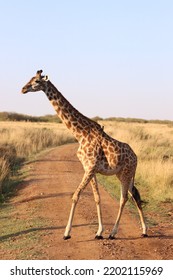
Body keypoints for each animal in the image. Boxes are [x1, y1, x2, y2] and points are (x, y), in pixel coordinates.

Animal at [21, 70, 147, 238]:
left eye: (36, 81)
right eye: (30, 78)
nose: (23, 89)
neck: (80, 134)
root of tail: (136, 157)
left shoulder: (90, 168)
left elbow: (75, 196)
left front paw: (67, 233)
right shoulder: (89, 168)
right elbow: (97, 198)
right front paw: (99, 232)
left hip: (126, 173)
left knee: (124, 198)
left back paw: (114, 232)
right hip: (123, 174)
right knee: (135, 196)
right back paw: (144, 231)